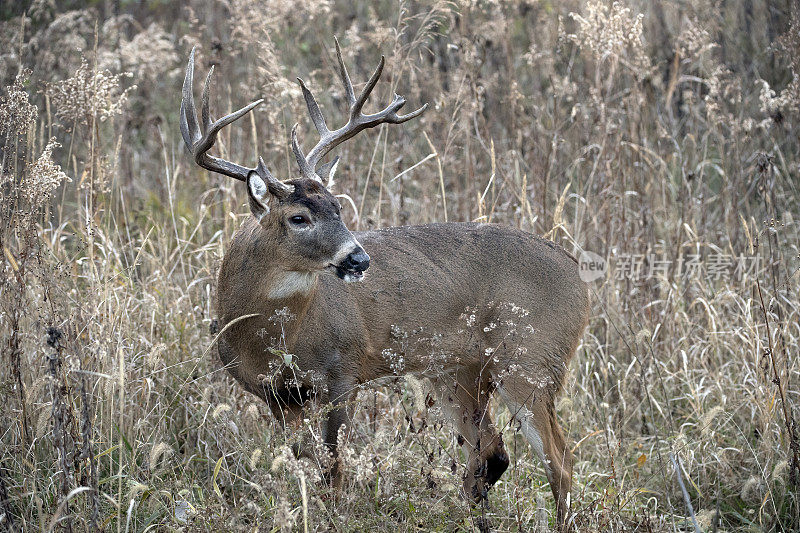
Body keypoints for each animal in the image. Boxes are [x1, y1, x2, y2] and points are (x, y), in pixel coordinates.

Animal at [180, 40, 588, 524]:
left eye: (338, 206)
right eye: (298, 217)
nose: (358, 258)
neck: (268, 335)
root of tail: (578, 274)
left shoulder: (343, 370)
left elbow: (333, 467)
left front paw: (334, 516)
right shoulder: (276, 396)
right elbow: (302, 462)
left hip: (531, 358)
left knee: (560, 459)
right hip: (458, 371)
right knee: (491, 452)